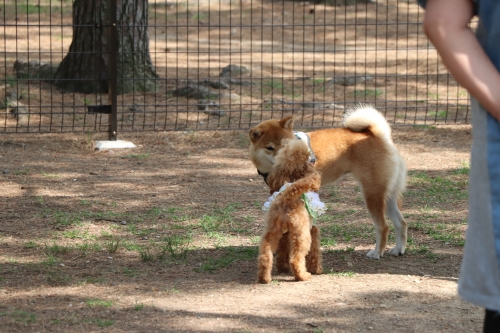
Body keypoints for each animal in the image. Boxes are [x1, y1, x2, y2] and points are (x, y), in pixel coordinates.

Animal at [248, 105, 408, 258]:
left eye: (286, 146)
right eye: (269, 148)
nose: (283, 160)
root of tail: (377, 135)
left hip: (372, 194)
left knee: (383, 226)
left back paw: (376, 253)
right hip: (387, 195)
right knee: (401, 223)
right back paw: (398, 250)